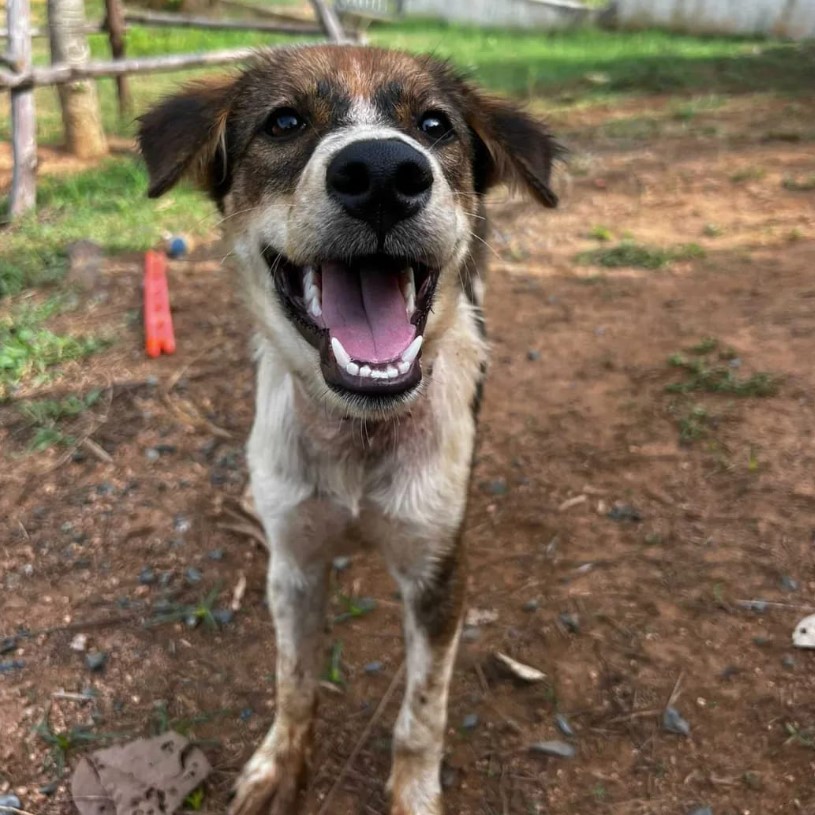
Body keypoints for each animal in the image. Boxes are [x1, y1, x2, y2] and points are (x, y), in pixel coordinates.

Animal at [140, 44, 560, 815]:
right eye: (283, 121)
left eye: (434, 124)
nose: (383, 174)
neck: (360, 433)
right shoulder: (292, 560)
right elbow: (293, 681)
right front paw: (279, 767)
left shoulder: (438, 569)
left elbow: (421, 714)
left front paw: (413, 793)